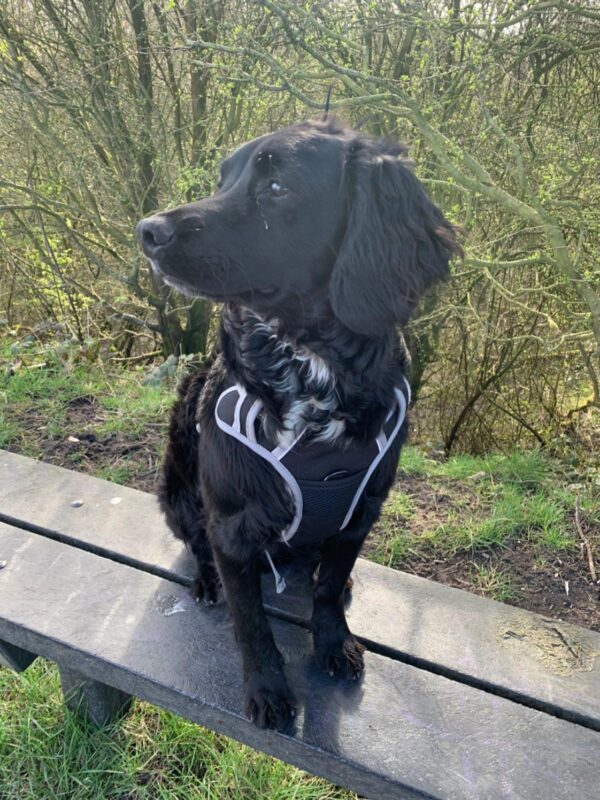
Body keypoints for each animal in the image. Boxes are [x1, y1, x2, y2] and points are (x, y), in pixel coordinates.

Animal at [138, 120, 462, 732]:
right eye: (223, 179)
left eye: (277, 187)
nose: (147, 231)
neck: (313, 372)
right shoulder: (232, 525)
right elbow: (251, 622)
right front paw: (267, 689)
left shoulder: (361, 511)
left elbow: (330, 590)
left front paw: (333, 643)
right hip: (175, 489)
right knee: (195, 543)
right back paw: (206, 580)